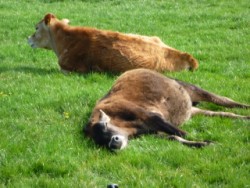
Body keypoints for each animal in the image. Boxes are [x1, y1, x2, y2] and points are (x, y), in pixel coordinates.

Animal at [84, 68, 250, 151]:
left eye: (105, 126)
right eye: (101, 142)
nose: (113, 143)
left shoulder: (150, 116)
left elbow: (181, 133)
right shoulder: (154, 132)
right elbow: (175, 138)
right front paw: (205, 144)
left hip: (191, 88)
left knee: (225, 100)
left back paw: (245, 107)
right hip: (192, 110)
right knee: (224, 113)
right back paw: (245, 118)